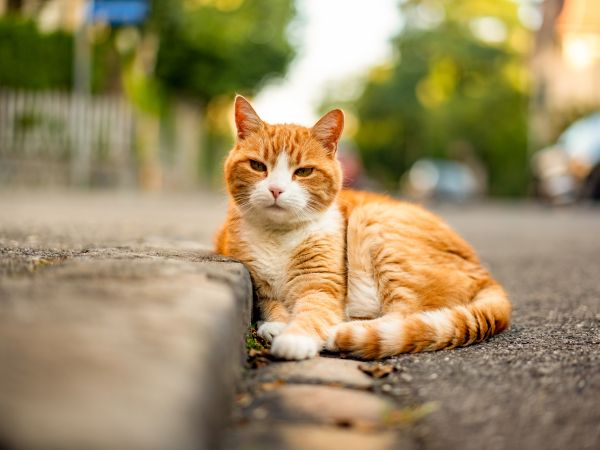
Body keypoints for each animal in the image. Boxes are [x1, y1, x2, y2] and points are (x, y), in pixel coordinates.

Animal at [216, 96, 510, 362]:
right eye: (257, 166)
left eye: (304, 172)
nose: (276, 190)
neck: (279, 236)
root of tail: (484, 272)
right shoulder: (260, 287)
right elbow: (272, 306)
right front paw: (277, 324)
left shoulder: (323, 286)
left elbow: (313, 313)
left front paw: (294, 339)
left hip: (374, 224)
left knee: (404, 315)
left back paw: (341, 331)